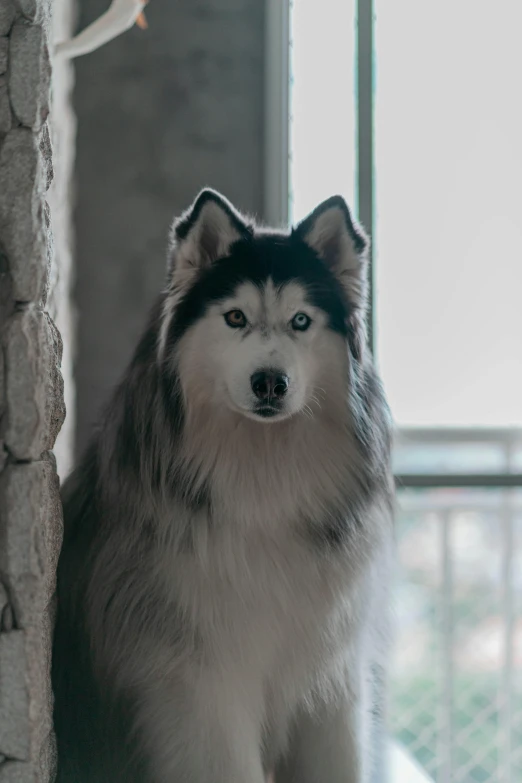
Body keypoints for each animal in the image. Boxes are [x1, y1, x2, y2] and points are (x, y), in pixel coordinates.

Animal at [53, 191, 394, 783]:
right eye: (235, 317)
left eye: (300, 321)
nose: (270, 382)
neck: (264, 480)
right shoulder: (200, 684)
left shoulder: (329, 678)